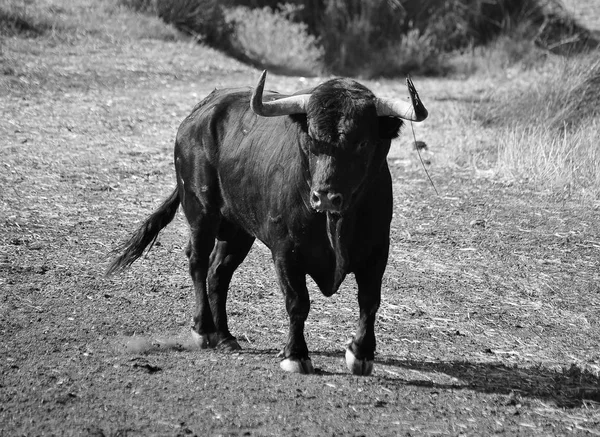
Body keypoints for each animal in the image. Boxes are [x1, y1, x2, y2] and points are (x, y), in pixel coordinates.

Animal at [108, 71, 426, 374]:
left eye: (362, 142)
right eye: (311, 139)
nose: (324, 196)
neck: (334, 225)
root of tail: (200, 113)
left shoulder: (377, 252)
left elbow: (369, 301)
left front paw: (360, 354)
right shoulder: (285, 251)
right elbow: (298, 302)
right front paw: (296, 355)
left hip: (237, 230)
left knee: (218, 271)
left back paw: (225, 336)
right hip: (201, 213)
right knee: (197, 262)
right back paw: (205, 330)